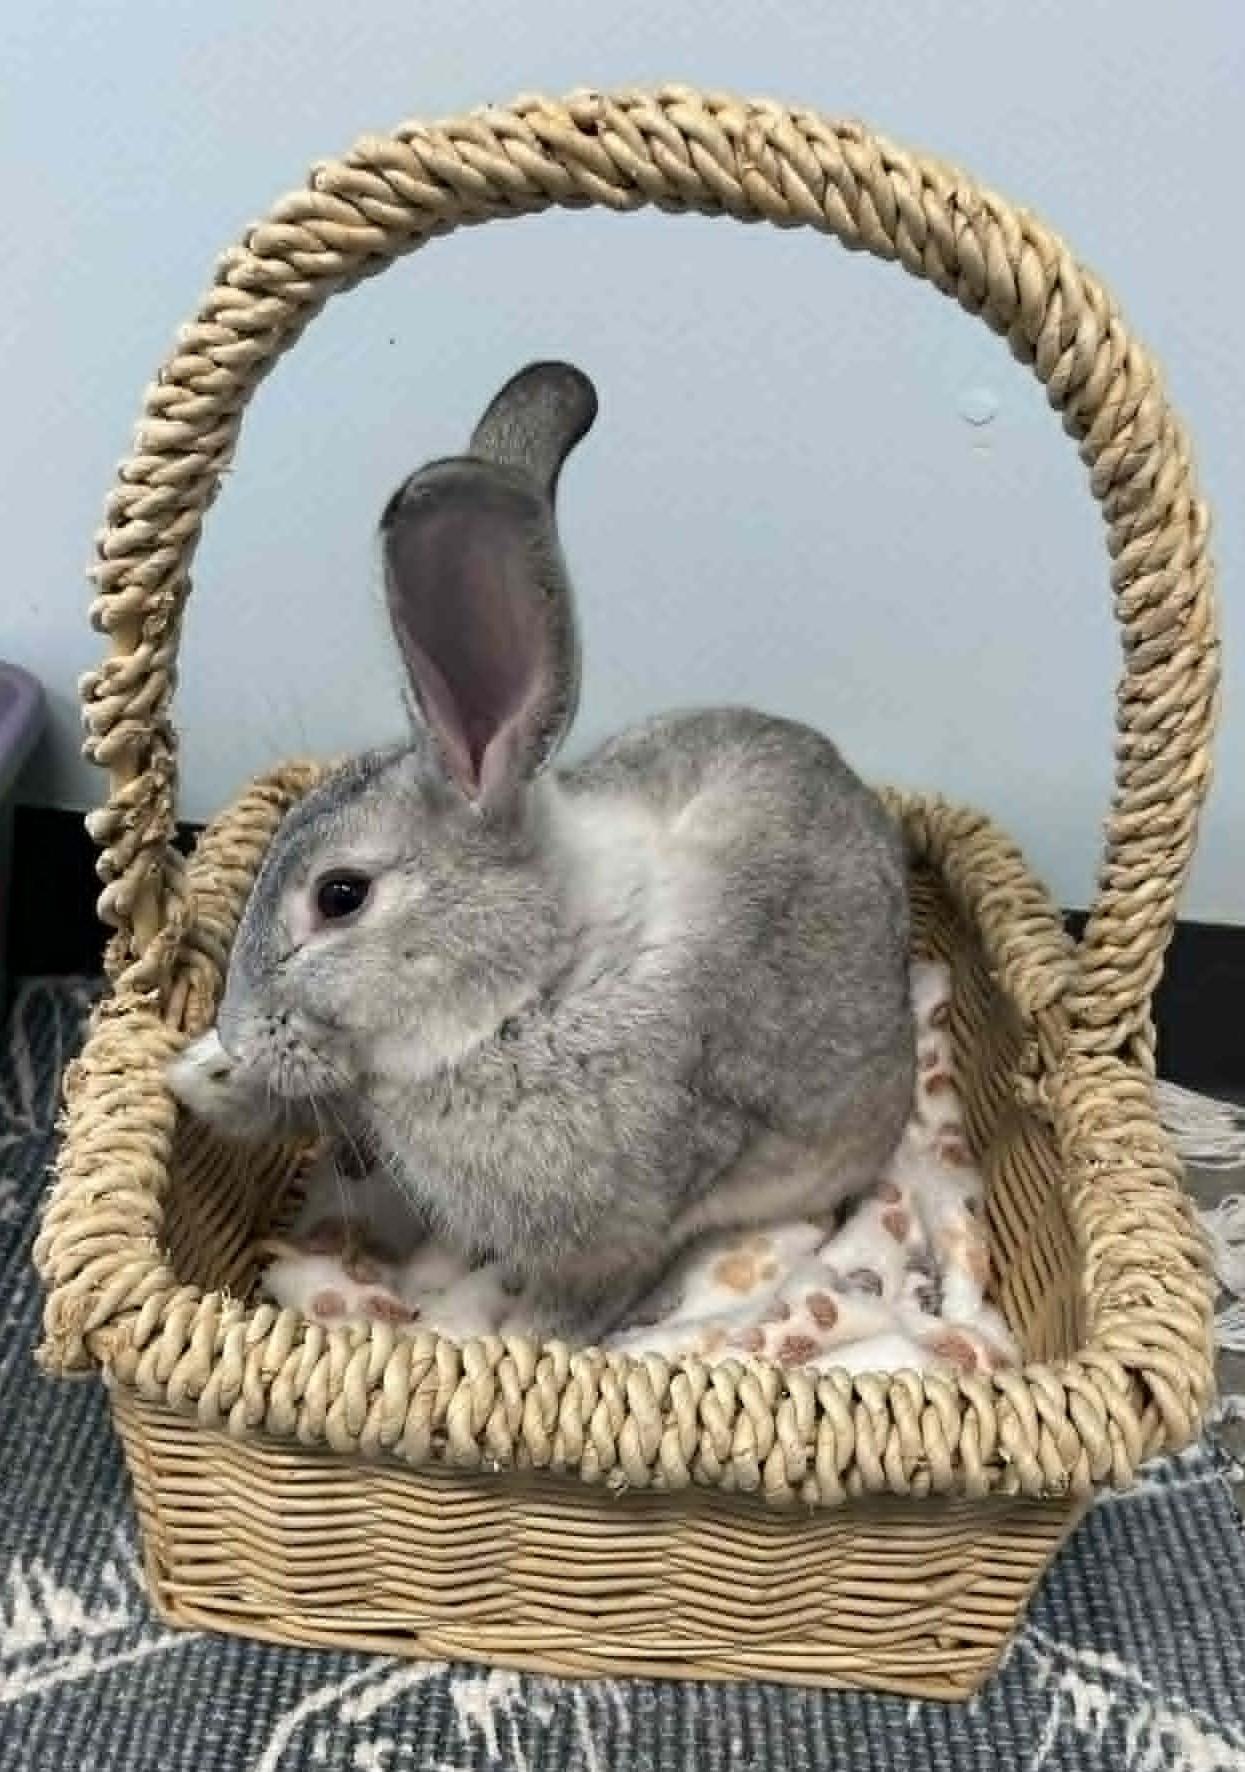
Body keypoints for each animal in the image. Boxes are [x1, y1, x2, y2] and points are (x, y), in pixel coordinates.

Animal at [168, 361, 916, 1345]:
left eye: (339, 896)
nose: (234, 1030)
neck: (540, 984)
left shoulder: (625, 1227)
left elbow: (582, 1299)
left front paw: (503, 1342)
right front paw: (201, 1082)